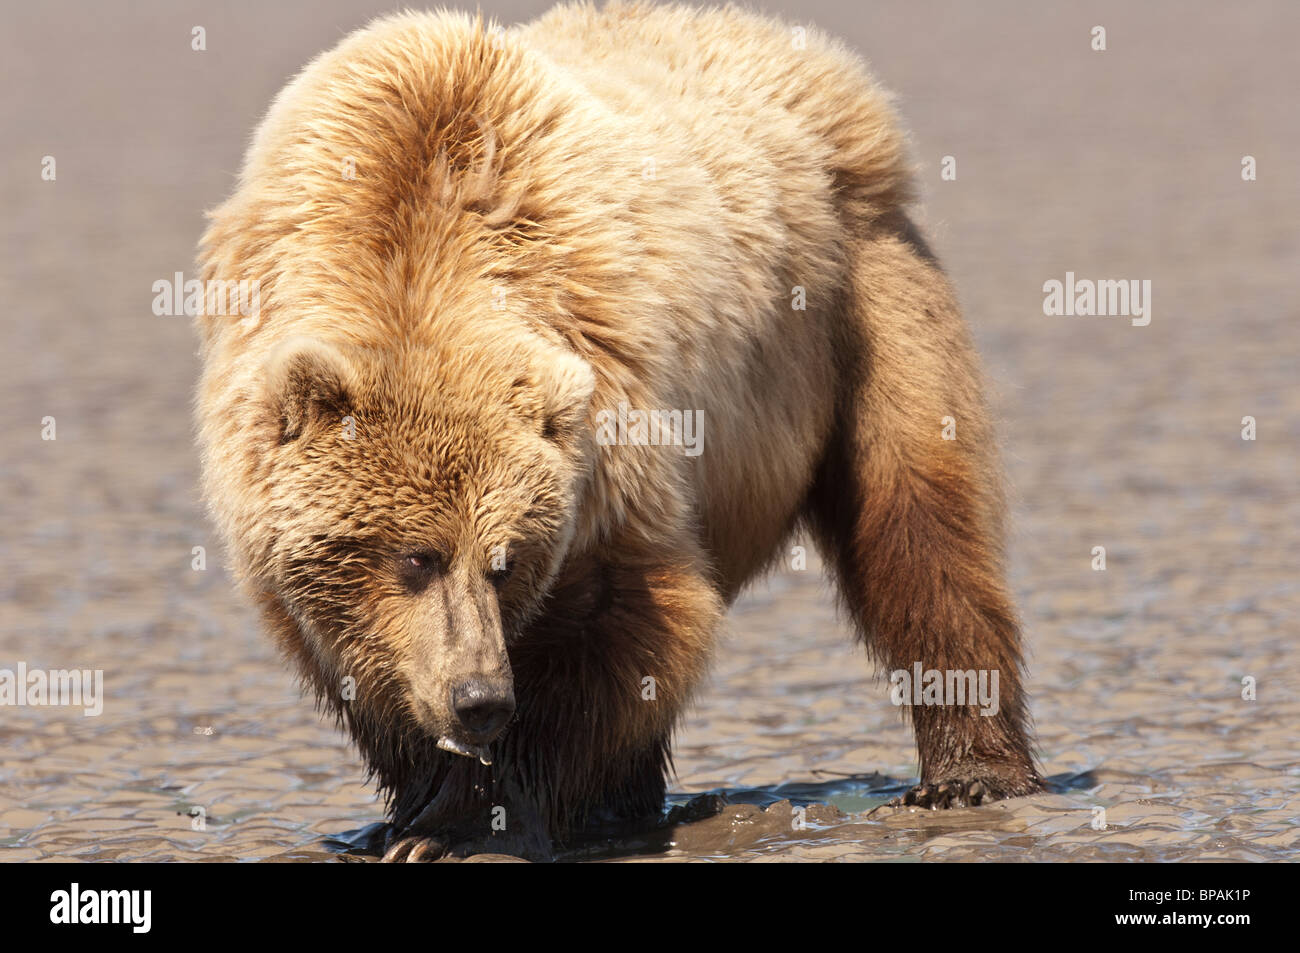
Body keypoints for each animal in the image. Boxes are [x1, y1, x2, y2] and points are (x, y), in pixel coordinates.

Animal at [194, 1, 1044, 861]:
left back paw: (969, 774)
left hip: (860, 308)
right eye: (415, 556)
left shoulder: (609, 423)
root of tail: (817, 62)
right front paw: (406, 813)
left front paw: (468, 823)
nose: (480, 697)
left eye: (504, 560)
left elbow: (631, 620)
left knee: (919, 526)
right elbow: (363, 660)